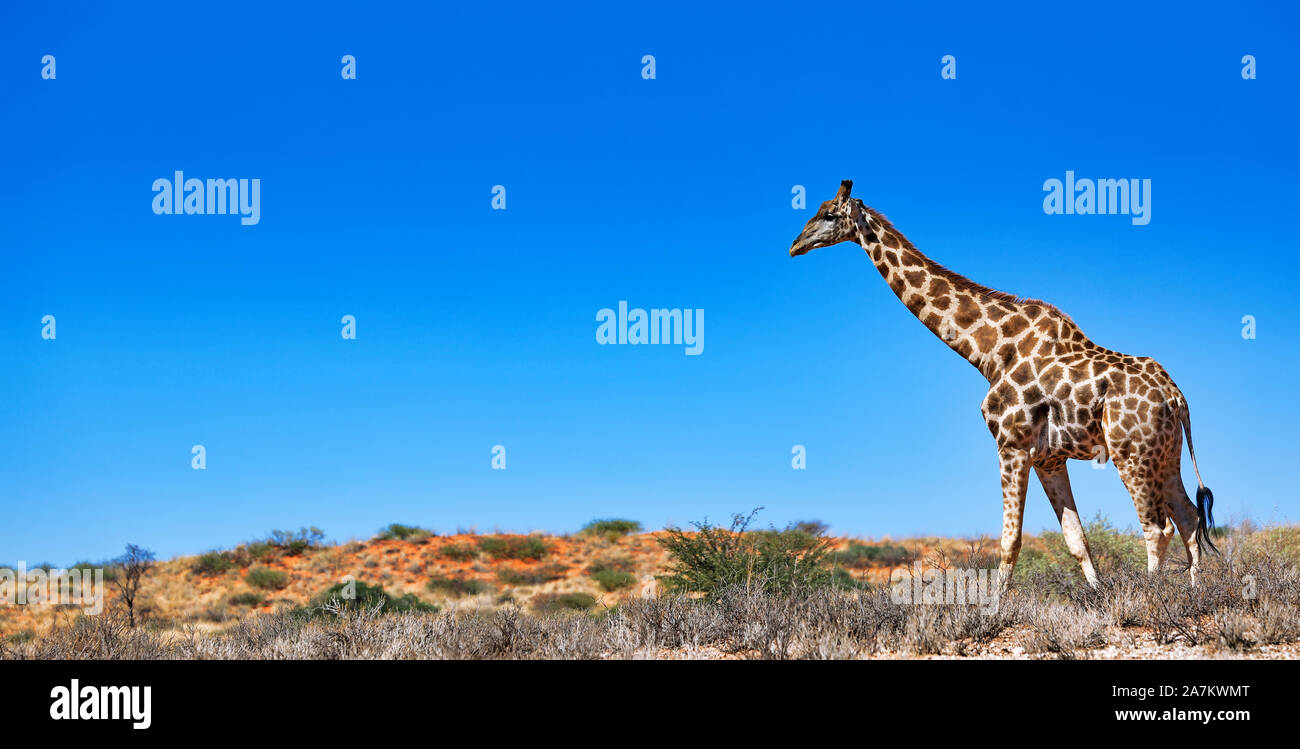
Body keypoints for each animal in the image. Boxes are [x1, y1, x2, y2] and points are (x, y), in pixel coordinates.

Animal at [789, 180, 1217, 589]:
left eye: (828, 214)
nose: (795, 245)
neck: (988, 352)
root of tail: (1175, 396)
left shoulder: (1011, 445)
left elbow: (1010, 541)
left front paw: (997, 607)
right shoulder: (1049, 458)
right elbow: (1076, 539)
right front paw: (1098, 595)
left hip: (1132, 452)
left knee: (1157, 528)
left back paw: (1151, 597)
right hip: (1165, 453)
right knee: (1188, 518)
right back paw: (1195, 592)